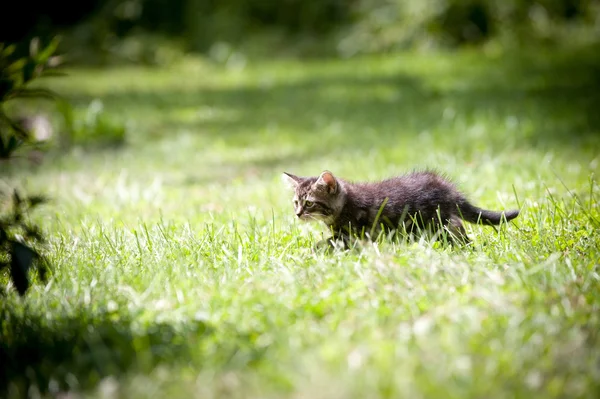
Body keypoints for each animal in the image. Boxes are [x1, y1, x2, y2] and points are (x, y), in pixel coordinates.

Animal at [282, 170, 520, 248]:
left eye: (309, 203)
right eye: (296, 202)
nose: (298, 214)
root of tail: (449, 190)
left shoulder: (354, 233)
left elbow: (327, 242)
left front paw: (313, 249)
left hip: (438, 219)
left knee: (457, 228)